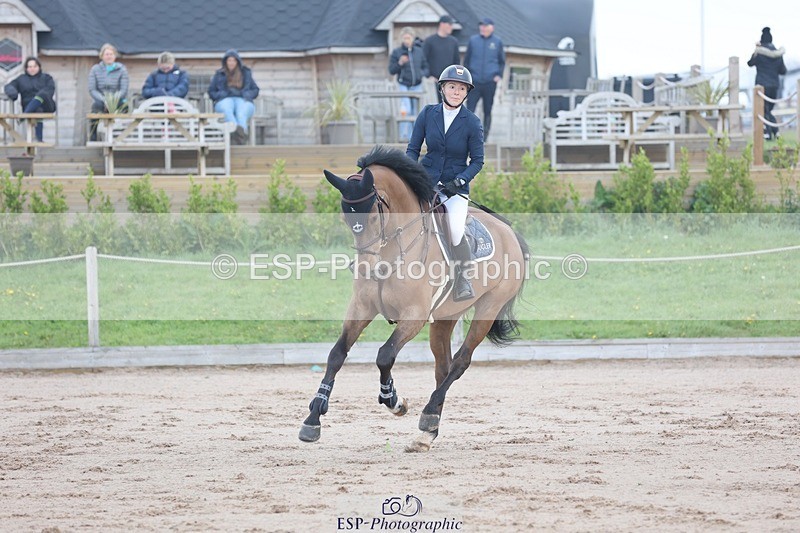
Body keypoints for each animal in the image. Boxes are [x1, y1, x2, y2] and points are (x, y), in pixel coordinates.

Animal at [299, 145, 529, 452]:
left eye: (374, 217)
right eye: (347, 219)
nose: (364, 267)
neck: (391, 251)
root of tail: (509, 231)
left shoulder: (414, 315)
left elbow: (385, 355)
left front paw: (393, 400)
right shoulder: (361, 307)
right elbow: (336, 354)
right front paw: (313, 419)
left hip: (488, 308)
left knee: (460, 362)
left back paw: (428, 416)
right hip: (445, 317)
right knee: (443, 368)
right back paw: (428, 431)